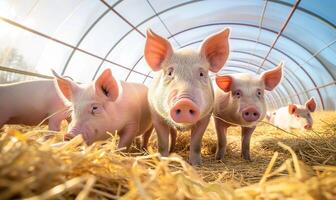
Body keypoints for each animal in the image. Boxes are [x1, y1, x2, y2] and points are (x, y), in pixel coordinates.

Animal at [144, 28, 231, 166]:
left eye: (201, 73)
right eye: (170, 72)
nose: (185, 102)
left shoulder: (206, 117)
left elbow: (196, 142)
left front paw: (197, 164)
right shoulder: (156, 115)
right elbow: (162, 141)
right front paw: (162, 160)